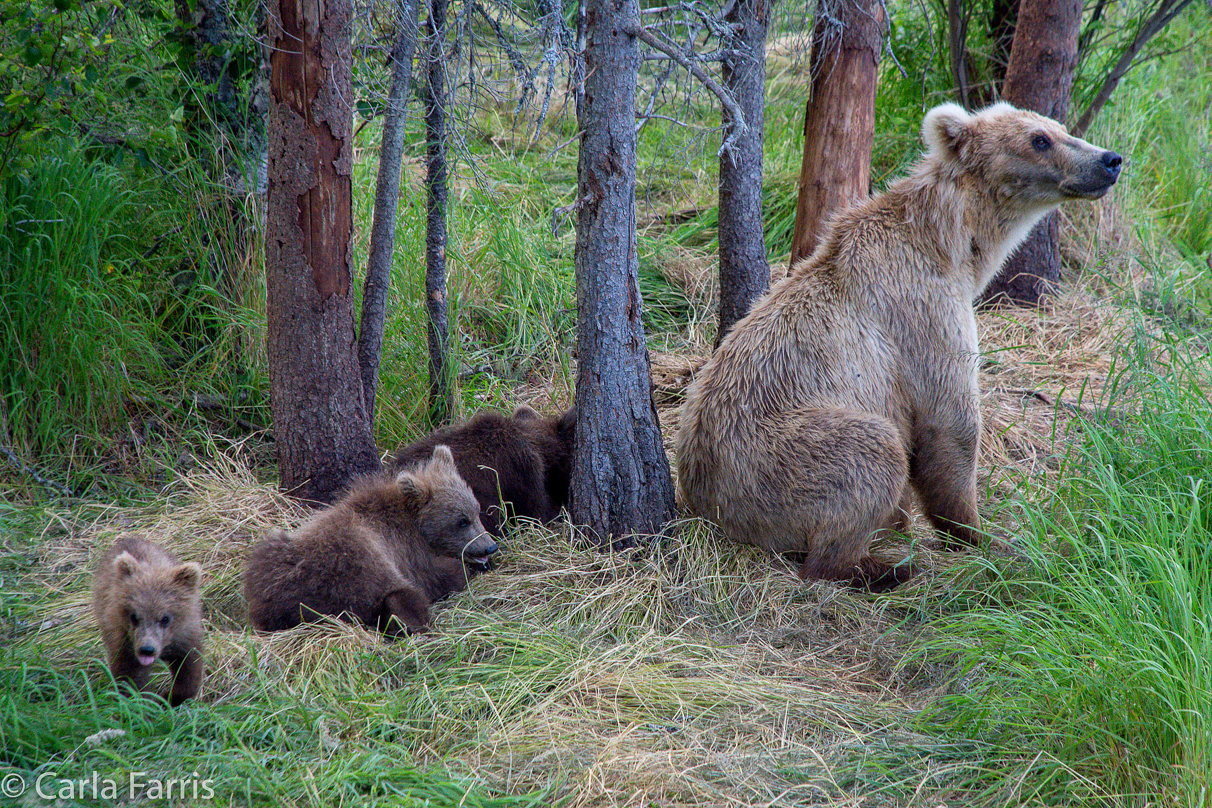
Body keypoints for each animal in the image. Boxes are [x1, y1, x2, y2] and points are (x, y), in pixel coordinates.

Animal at [92, 540, 204, 702]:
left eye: (165, 618)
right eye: (134, 616)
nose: (147, 649)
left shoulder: (184, 636)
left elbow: (188, 669)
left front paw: (170, 697)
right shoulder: (125, 642)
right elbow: (130, 677)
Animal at [243, 445, 494, 634]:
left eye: (476, 511)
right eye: (461, 521)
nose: (490, 546)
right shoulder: (410, 556)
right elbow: (442, 575)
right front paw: (463, 571)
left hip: (270, 562)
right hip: (357, 562)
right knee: (403, 597)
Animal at [678, 104, 1119, 591]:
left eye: (1061, 128)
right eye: (1039, 139)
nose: (1109, 160)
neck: (955, 242)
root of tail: (706, 505)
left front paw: (914, 523)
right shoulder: (923, 312)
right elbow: (950, 421)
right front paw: (978, 534)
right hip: (771, 461)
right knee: (869, 455)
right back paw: (884, 568)